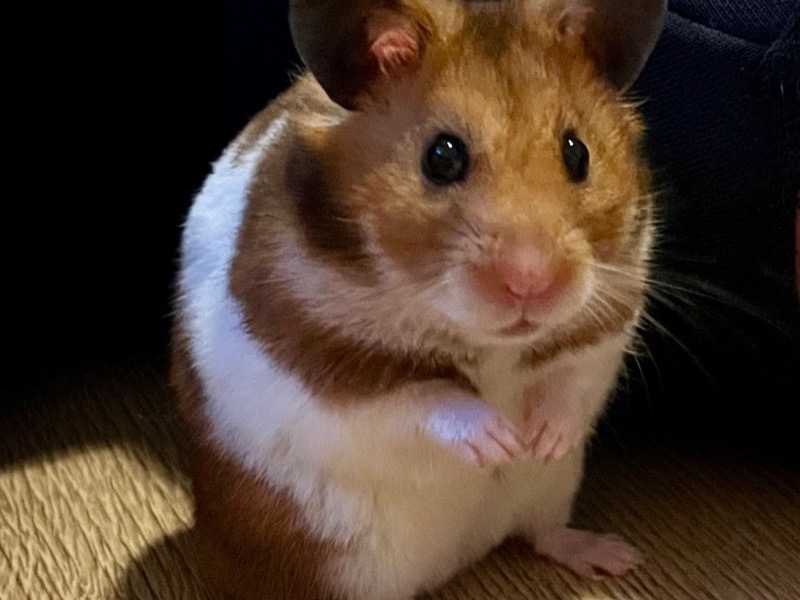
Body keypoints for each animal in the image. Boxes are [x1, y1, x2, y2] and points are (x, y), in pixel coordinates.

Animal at [170, 1, 666, 599]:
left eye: (578, 152)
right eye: (442, 157)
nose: (531, 283)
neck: (491, 345)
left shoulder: (609, 323)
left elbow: (570, 381)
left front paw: (540, 440)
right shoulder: (318, 373)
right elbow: (424, 398)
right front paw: (501, 442)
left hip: (551, 491)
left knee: (543, 531)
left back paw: (615, 556)